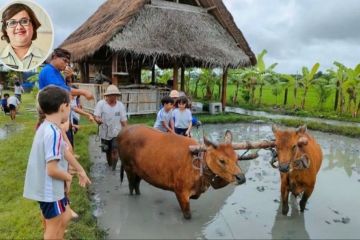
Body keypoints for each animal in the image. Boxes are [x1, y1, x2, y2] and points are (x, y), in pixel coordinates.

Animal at [116, 125, 246, 219]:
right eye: (221, 160)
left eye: (237, 157)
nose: (241, 178)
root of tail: (123, 131)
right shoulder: (181, 191)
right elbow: (187, 215)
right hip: (128, 168)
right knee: (131, 186)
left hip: (139, 171)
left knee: (136, 185)